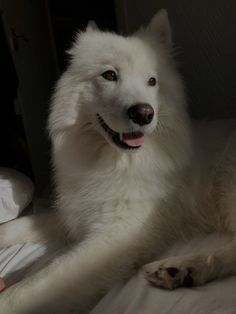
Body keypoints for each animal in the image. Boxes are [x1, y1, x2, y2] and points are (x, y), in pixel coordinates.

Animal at [0, 8, 236, 312]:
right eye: (109, 75)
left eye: (152, 81)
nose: (143, 113)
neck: (115, 161)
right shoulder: (76, 215)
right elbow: (17, 226)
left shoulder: (115, 235)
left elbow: (33, 284)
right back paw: (181, 272)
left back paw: (184, 266)